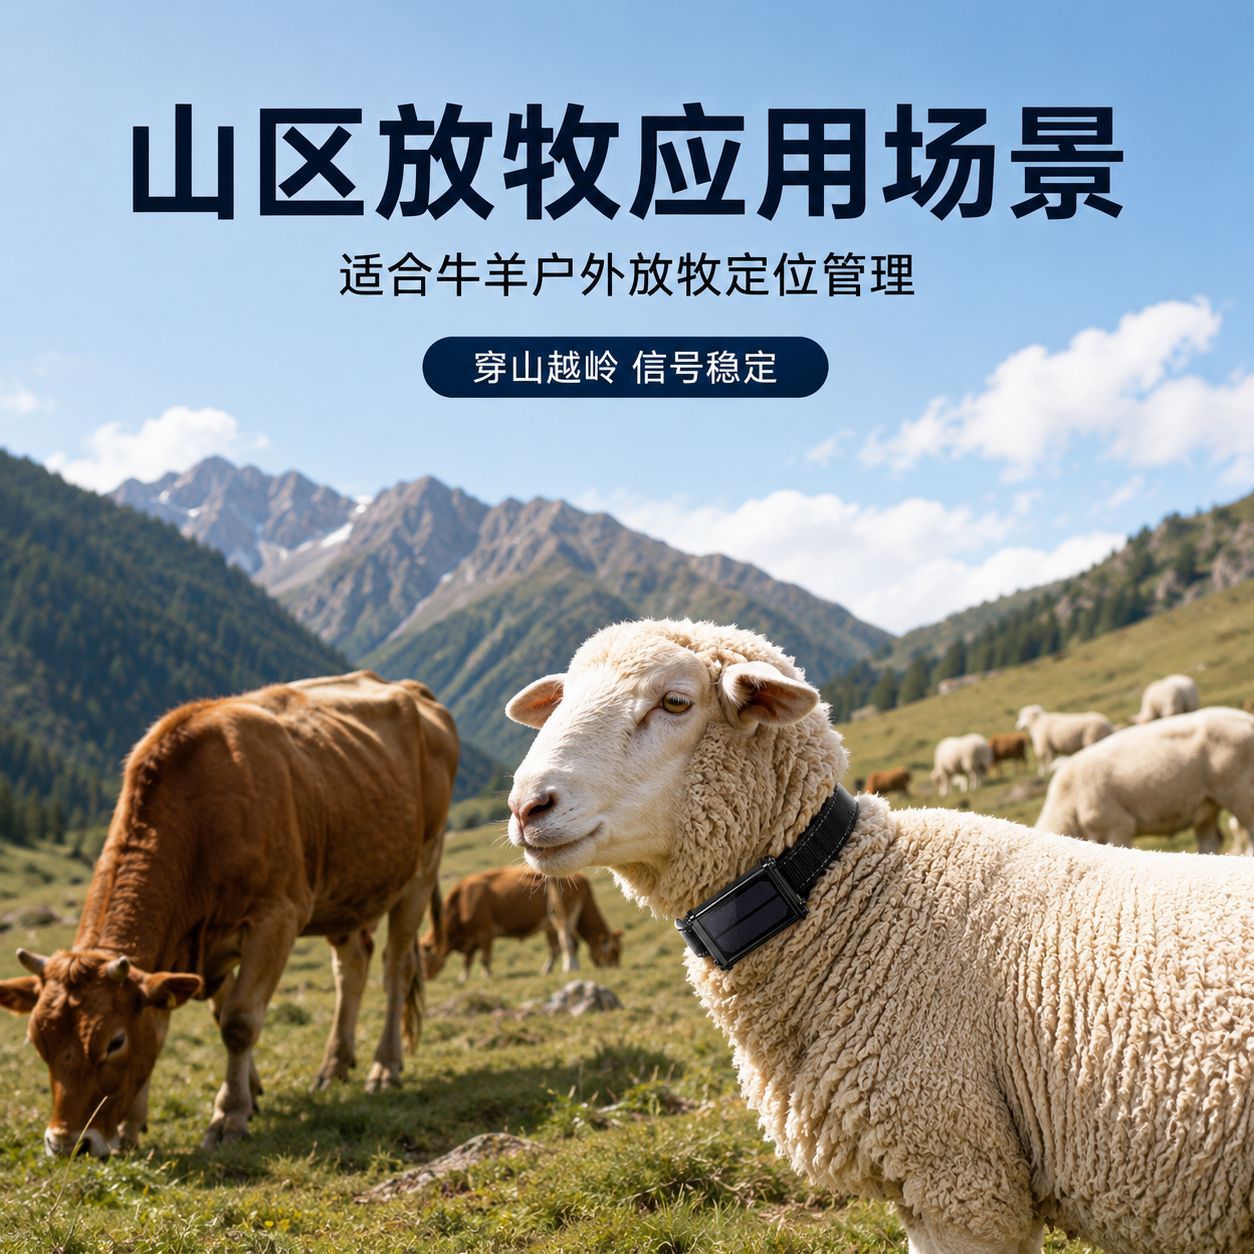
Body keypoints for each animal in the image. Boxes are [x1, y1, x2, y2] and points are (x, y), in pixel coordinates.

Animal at [0, 671, 457, 1158]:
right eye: (37, 1041)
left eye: (114, 1041)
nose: (67, 1143)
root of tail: (408, 687)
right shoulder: (196, 948)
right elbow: (180, 1019)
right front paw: (136, 1124)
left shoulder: (276, 917)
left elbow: (239, 1021)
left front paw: (229, 1115)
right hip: (347, 887)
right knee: (351, 967)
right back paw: (333, 1067)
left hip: (422, 866)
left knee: (396, 968)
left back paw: (384, 1067)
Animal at [420, 865, 622, 980]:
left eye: (616, 951)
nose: (615, 967)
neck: (462, 901)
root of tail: (580, 878)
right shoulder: (472, 939)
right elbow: (467, 961)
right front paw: (463, 978)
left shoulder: (485, 932)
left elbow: (484, 959)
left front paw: (486, 976)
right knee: (562, 946)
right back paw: (551, 970)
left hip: (563, 919)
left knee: (569, 942)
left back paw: (569, 968)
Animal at [1035, 707, 1254, 855]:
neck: (1067, 803)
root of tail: (1247, 719)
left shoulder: (1118, 826)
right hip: (1207, 805)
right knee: (1210, 841)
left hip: (1242, 793)